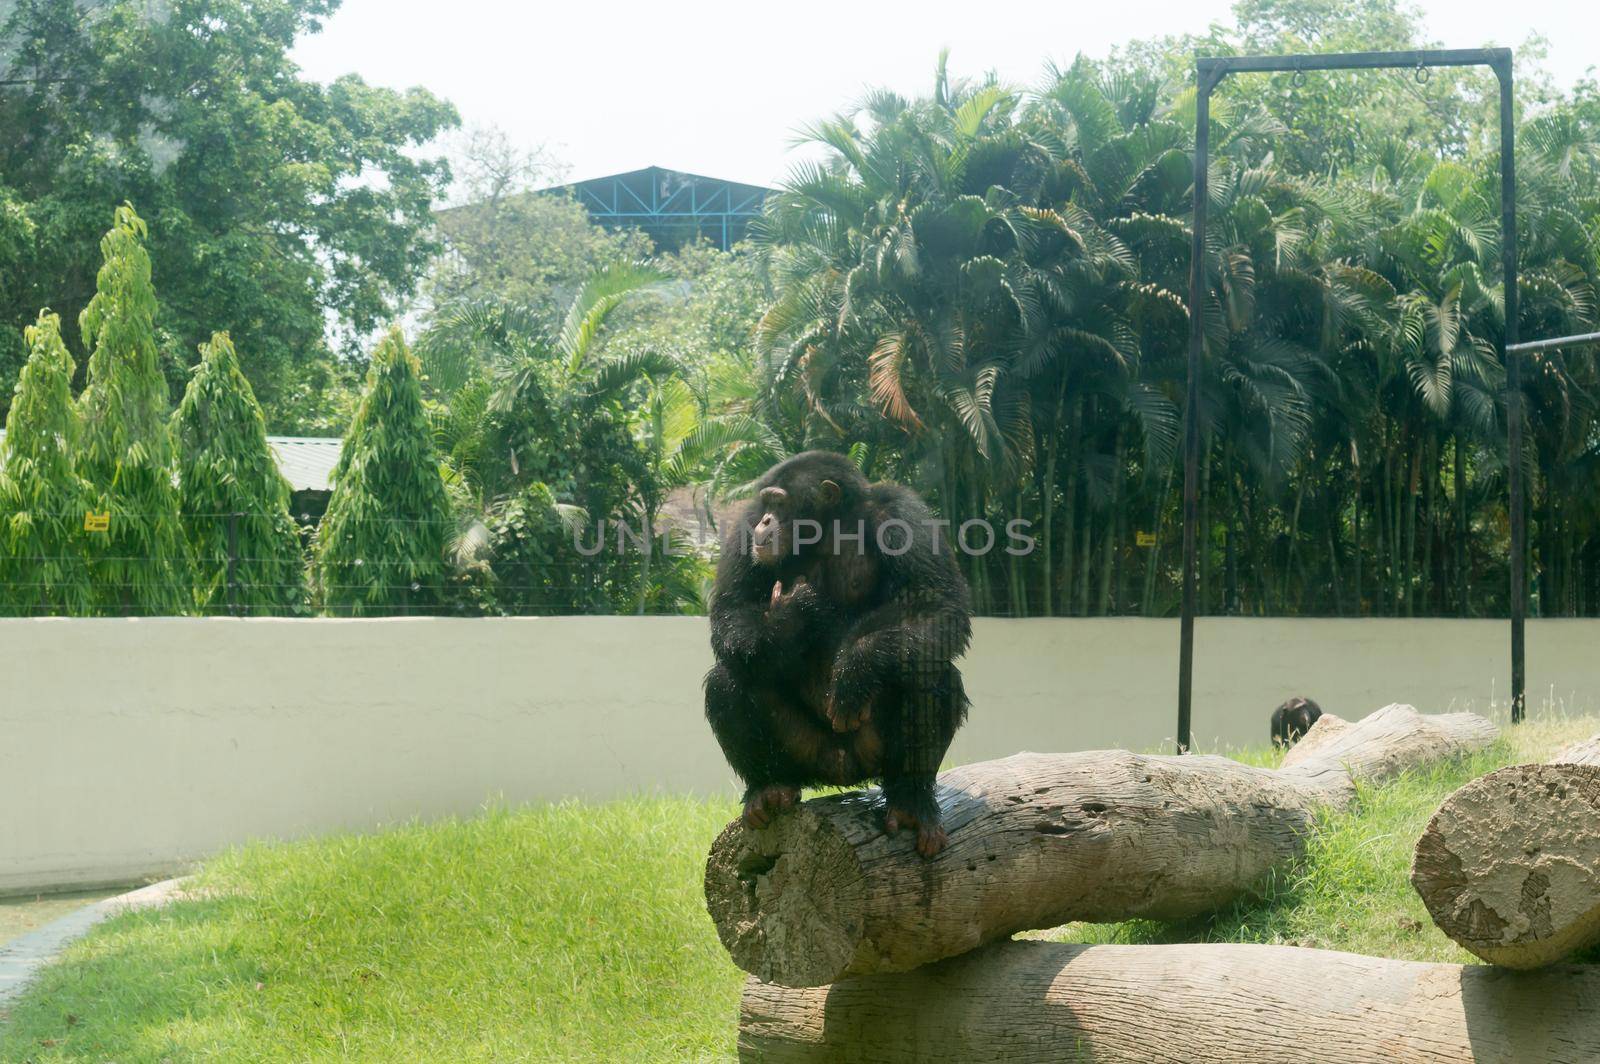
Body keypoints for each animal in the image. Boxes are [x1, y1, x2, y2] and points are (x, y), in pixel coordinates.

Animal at [704, 448, 972, 857]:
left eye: (779, 502)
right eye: (766, 503)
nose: (766, 520)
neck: (827, 529)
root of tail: (845, 772)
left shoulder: (904, 512)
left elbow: (937, 604)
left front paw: (856, 669)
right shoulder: (744, 528)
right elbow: (733, 611)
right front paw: (793, 612)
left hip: (873, 752)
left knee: (930, 672)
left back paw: (911, 800)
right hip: (806, 753)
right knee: (728, 677)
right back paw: (768, 788)